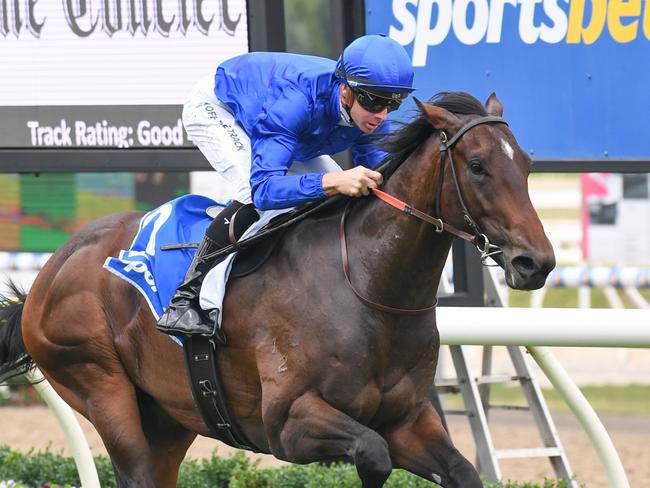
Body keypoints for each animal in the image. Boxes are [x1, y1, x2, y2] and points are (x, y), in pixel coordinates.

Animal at [0, 92, 552, 488]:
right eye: (477, 166)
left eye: (526, 164)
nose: (537, 262)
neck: (367, 287)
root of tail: (51, 270)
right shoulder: (289, 422)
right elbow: (372, 455)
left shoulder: (408, 420)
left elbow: (460, 470)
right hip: (99, 384)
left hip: (168, 415)